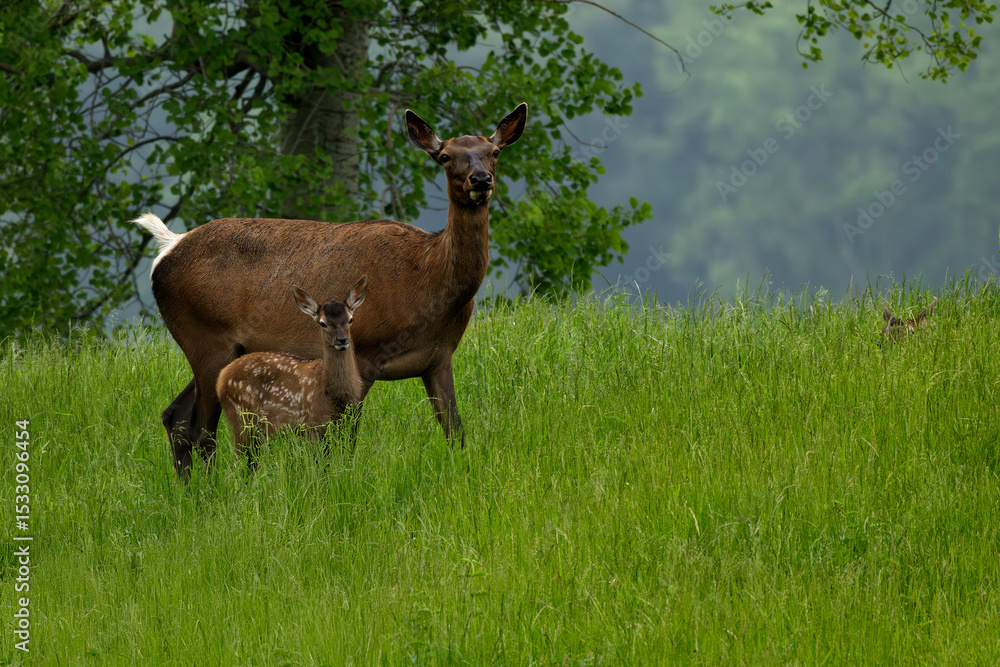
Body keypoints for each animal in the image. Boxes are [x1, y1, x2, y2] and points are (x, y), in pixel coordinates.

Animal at [216, 278, 367, 470]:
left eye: (350, 319)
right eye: (323, 323)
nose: (342, 339)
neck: (332, 393)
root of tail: (221, 378)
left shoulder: (341, 422)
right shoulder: (313, 424)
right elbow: (320, 466)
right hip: (241, 418)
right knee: (235, 464)